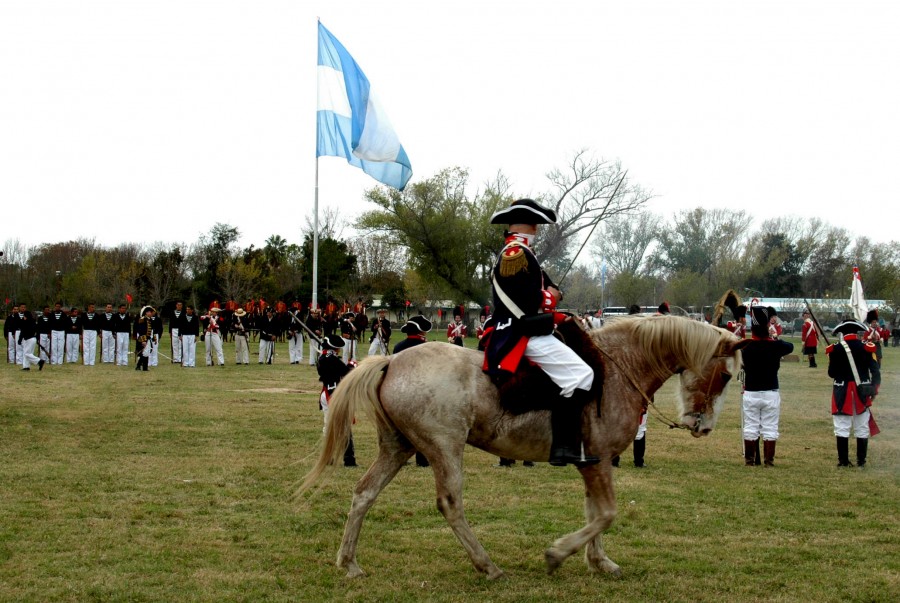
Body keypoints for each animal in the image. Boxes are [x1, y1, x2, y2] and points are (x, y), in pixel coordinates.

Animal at [298, 316, 748, 580]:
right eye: (727, 376)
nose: (703, 426)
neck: (618, 367)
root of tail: (393, 362)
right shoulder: (599, 461)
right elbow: (606, 514)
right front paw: (559, 554)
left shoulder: (593, 461)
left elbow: (596, 513)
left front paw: (599, 561)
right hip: (444, 448)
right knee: (450, 503)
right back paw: (487, 565)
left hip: (398, 448)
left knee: (364, 494)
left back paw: (349, 563)